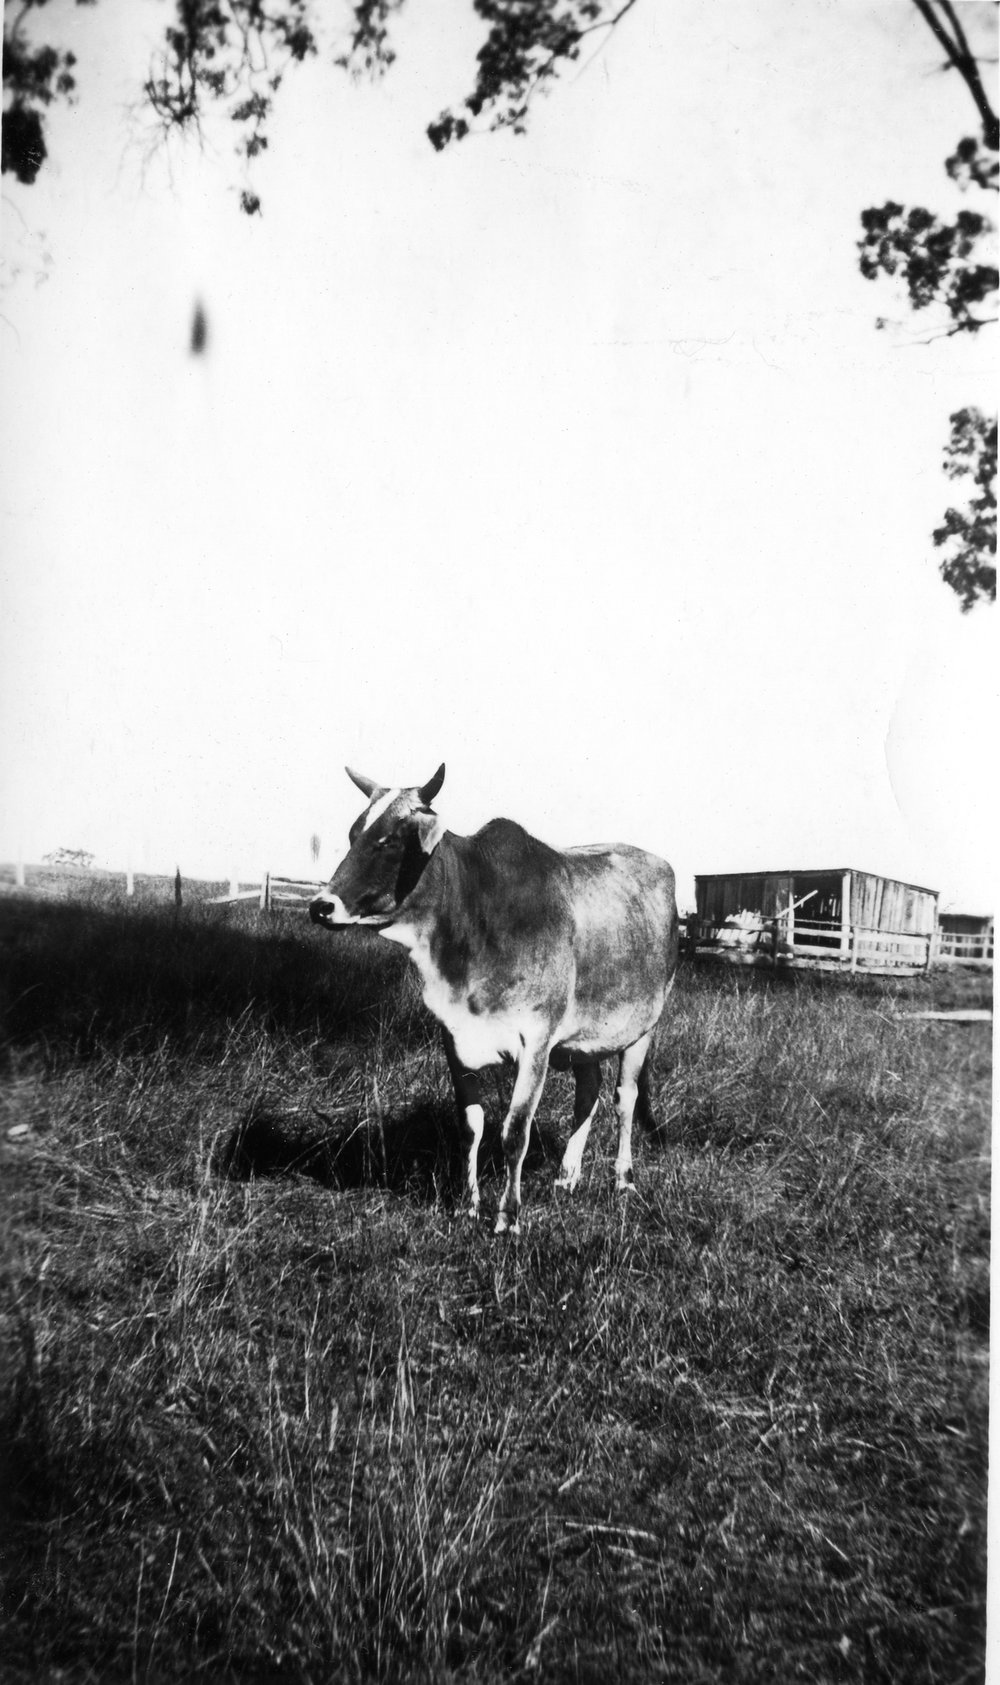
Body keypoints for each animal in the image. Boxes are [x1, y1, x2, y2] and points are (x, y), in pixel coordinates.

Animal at [310, 766, 679, 1234]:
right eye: (355, 833)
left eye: (390, 840)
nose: (321, 907)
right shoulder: (454, 1038)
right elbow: (471, 1126)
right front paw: (467, 1206)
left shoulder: (536, 1042)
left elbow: (515, 1132)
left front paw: (508, 1215)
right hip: (584, 1040)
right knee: (589, 1092)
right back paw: (567, 1176)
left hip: (642, 1029)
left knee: (624, 1100)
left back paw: (623, 1179)